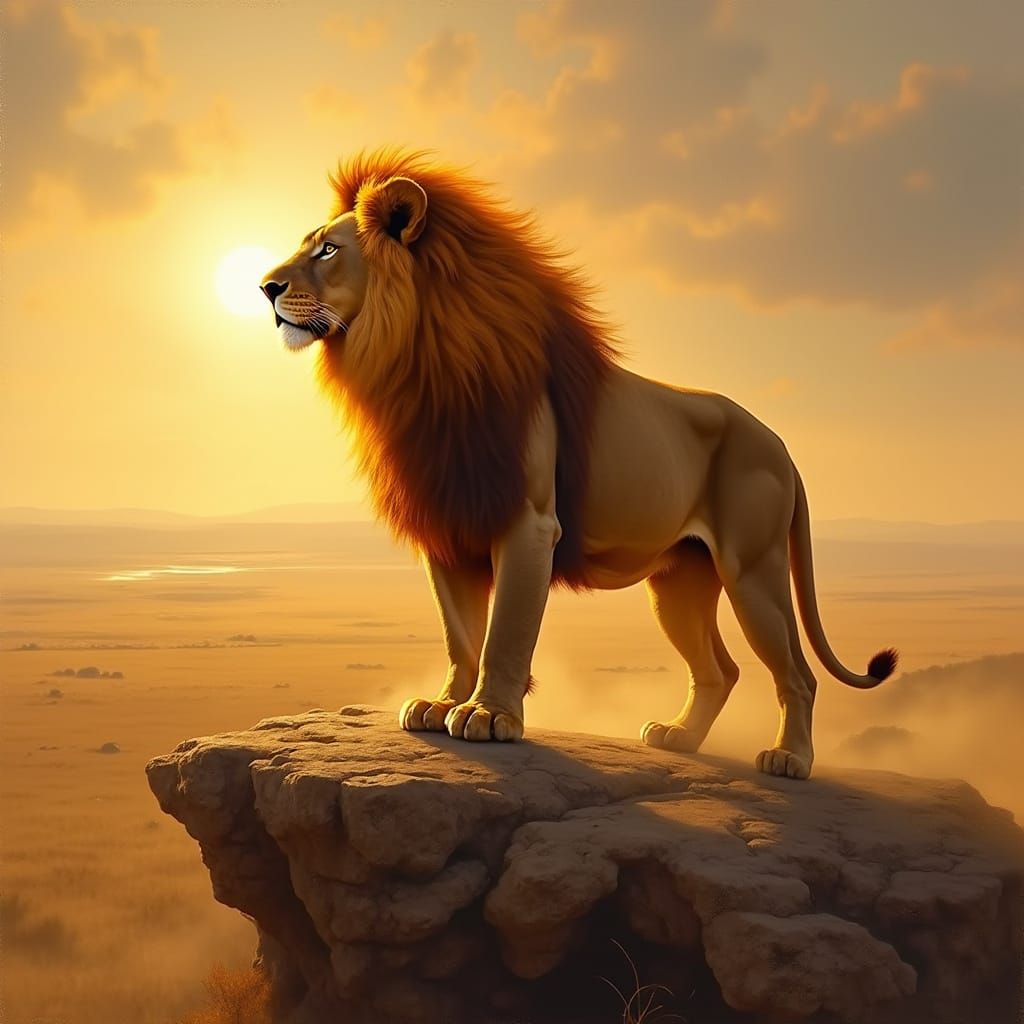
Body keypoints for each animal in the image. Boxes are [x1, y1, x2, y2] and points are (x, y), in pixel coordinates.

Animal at [260, 148, 897, 780]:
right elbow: (460, 635)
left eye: (327, 249)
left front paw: (488, 715)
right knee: (721, 670)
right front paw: (442, 704)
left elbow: (504, 631)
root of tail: (781, 445)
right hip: (679, 583)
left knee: (798, 673)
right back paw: (680, 737)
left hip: (753, 569)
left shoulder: (528, 522)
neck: (417, 365)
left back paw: (790, 758)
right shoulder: (447, 528)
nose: (265, 287)